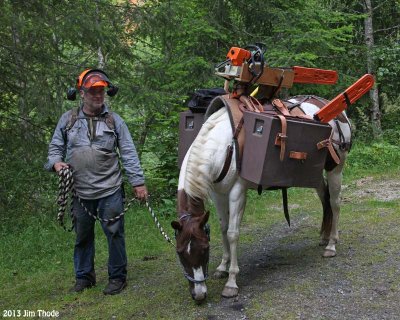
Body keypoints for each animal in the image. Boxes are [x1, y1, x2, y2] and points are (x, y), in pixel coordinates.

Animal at [171, 96, 350, 302]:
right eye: (179, 253)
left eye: (204, 249)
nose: (199, 294)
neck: (224, 146)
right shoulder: (217, 193)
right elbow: (223, 228)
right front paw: (222, 267)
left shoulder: (237, 192)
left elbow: (233, 233)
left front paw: (231, 282)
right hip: (315, 176)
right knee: (324, 198)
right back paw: (324, 236)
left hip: (335, 169)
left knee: (335, 203)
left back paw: (331, 245)